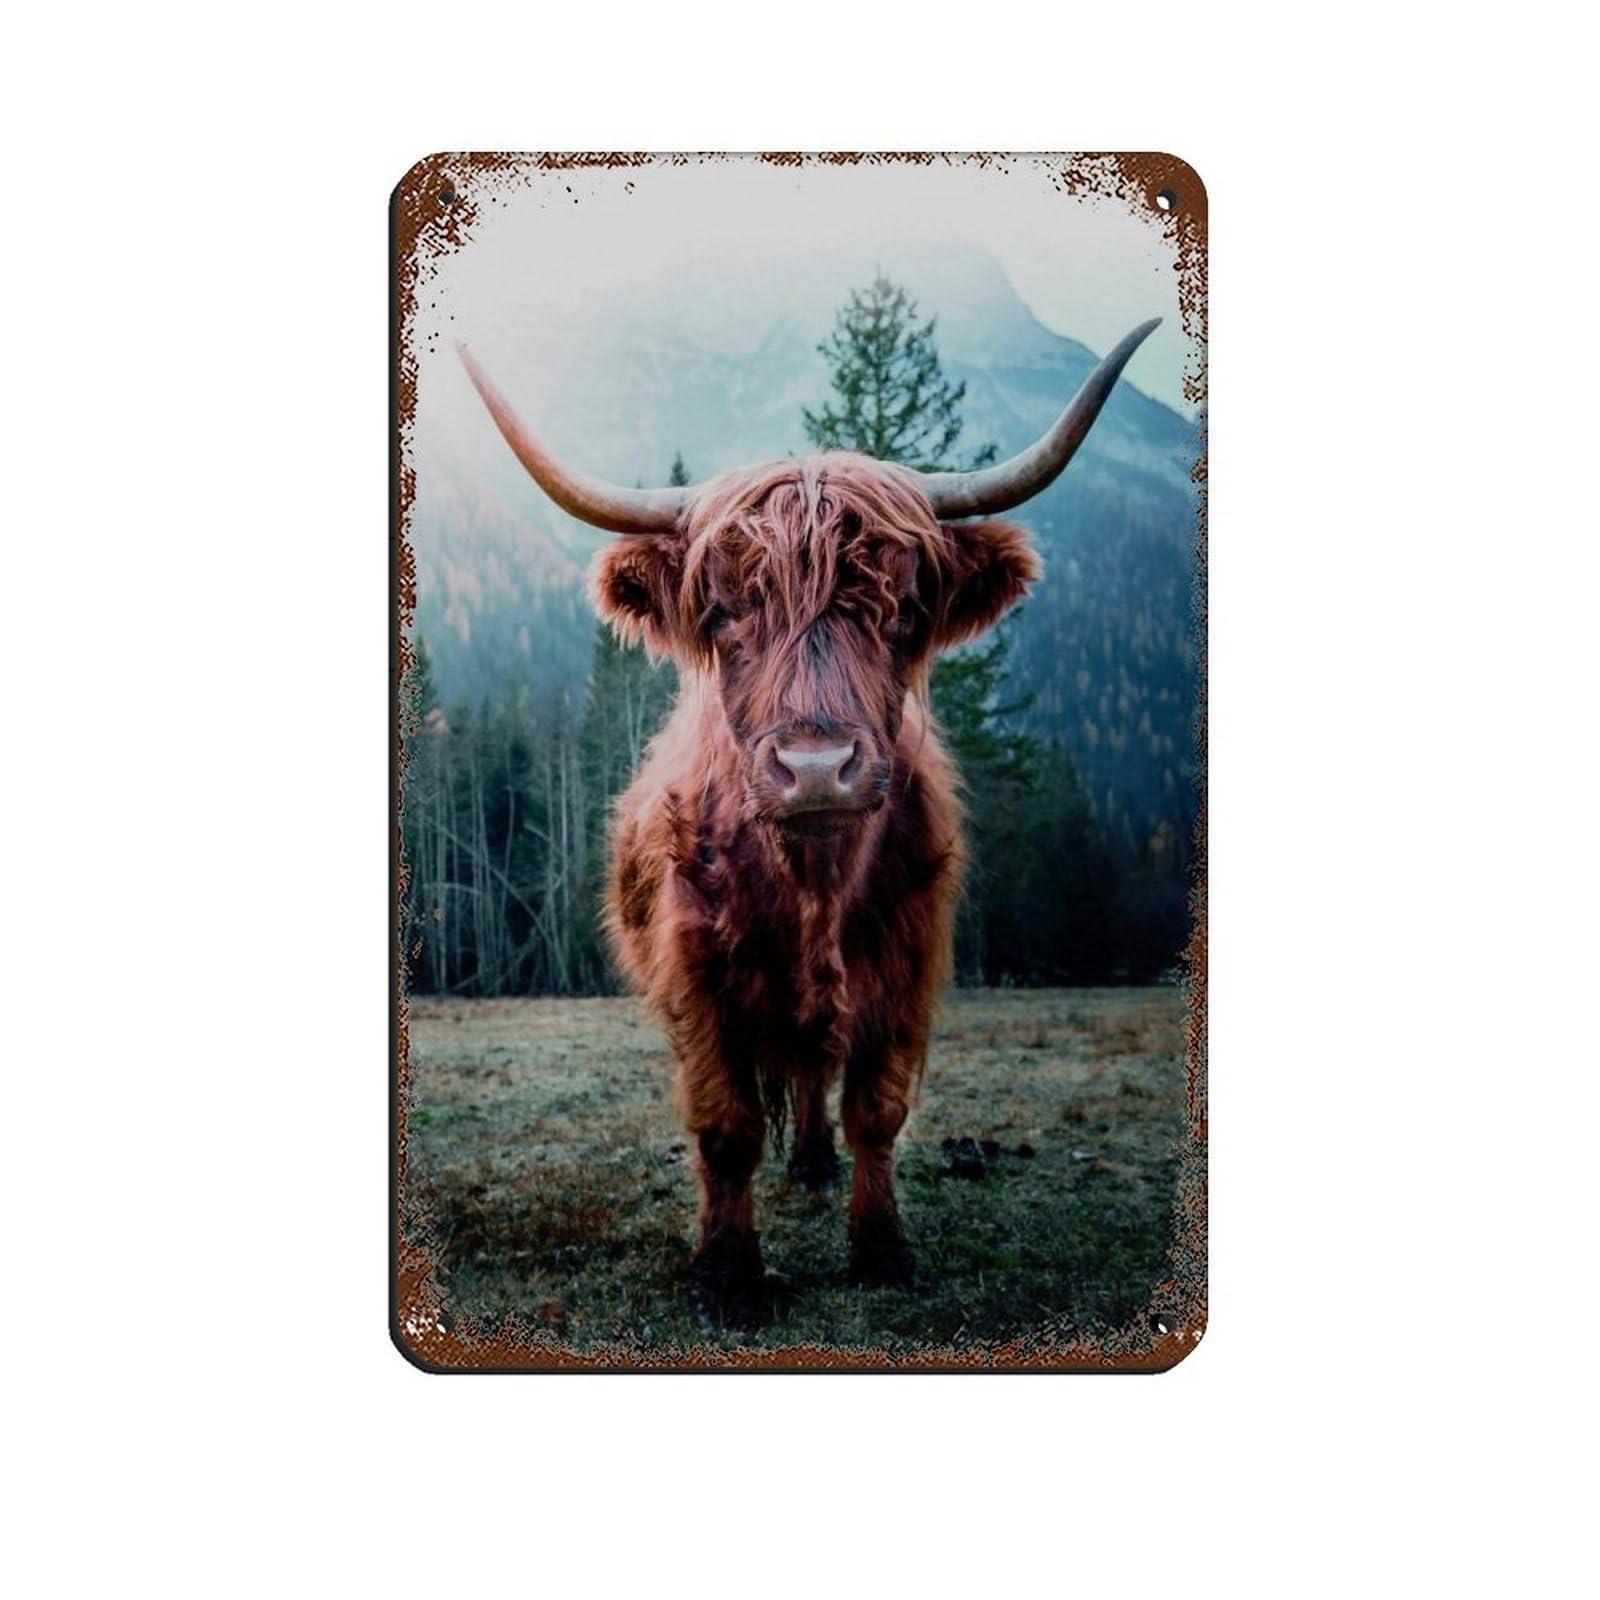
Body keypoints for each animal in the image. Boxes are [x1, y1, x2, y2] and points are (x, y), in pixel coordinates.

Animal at [457, 318, 1158, 1326]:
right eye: (722, 610)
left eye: (903, 607)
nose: (817, 768)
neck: (811, 886)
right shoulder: (696, 976)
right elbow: (726, 1125)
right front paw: (728, 1274)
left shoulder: (905, 965)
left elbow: (876, 1109)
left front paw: (881, 1248)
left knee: (814, 1068)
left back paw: (818, 1166)